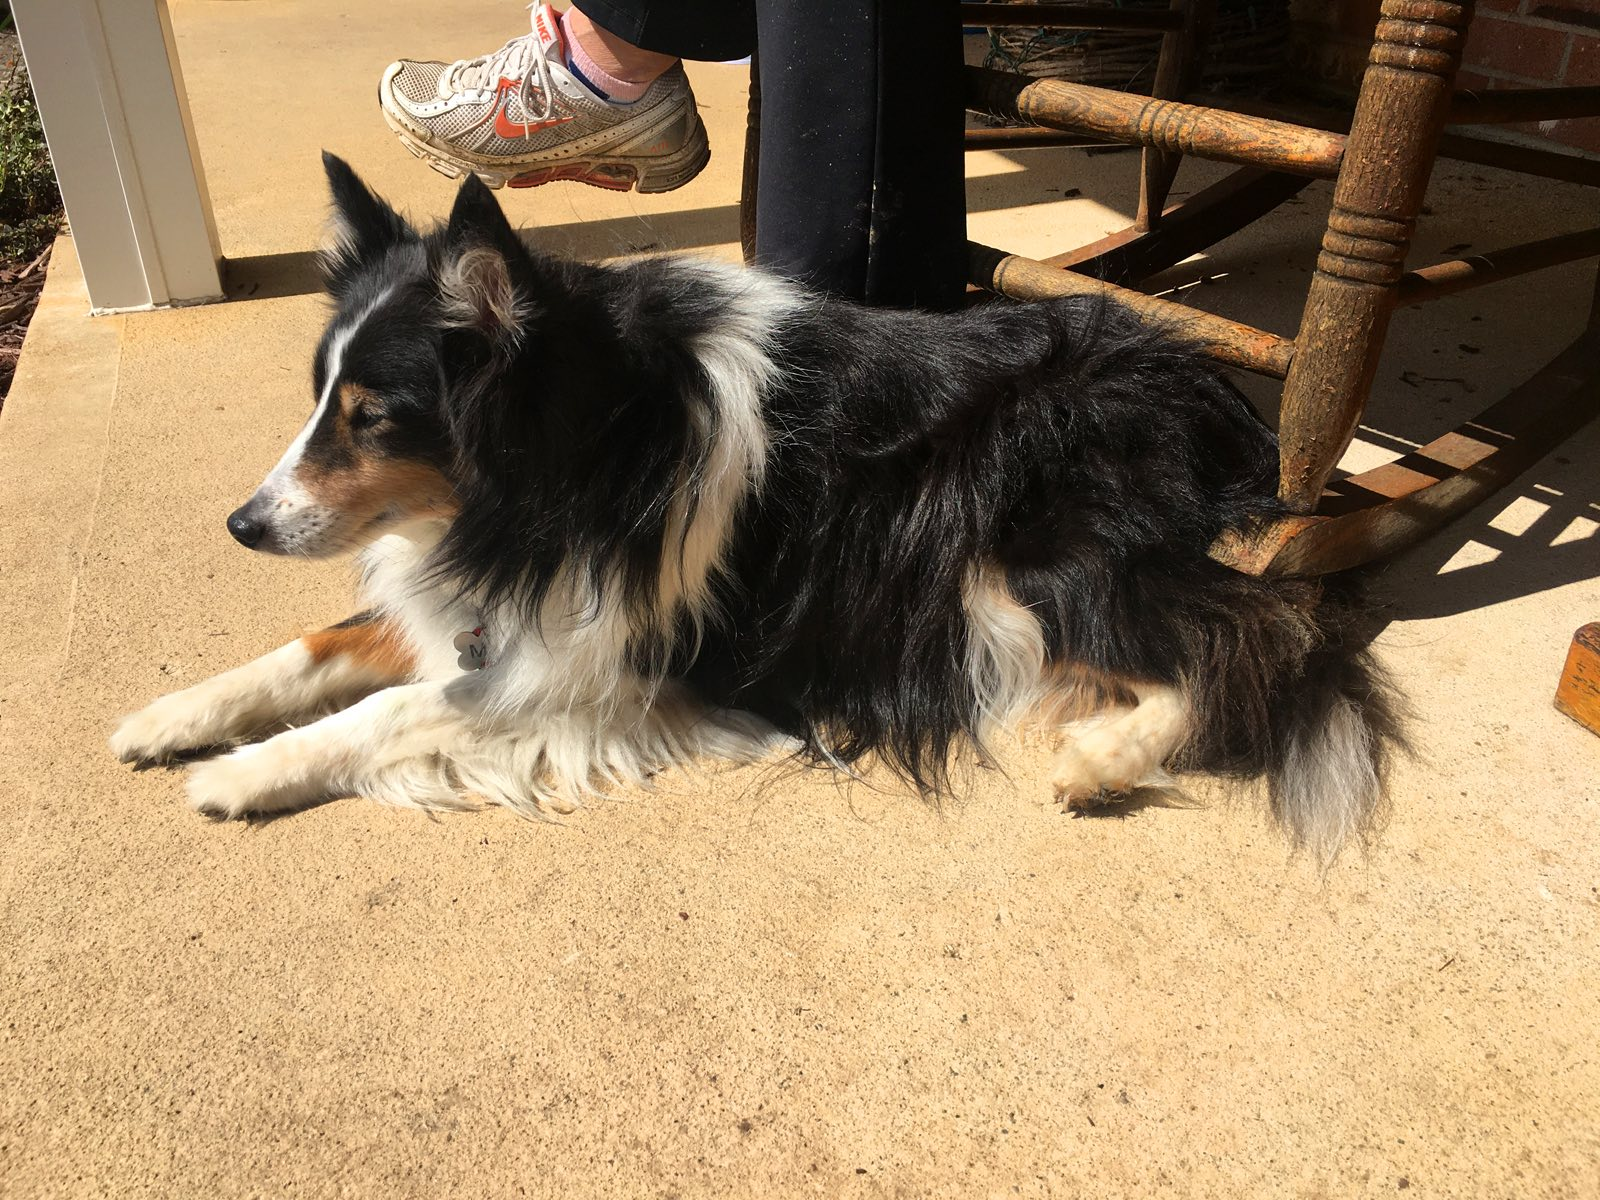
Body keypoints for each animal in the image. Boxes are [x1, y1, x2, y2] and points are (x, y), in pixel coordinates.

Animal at [112, 155, 1401, 857]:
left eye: (375, 415)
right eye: (319, 398)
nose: (242, 525)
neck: (593, 445)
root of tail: (1207, 394)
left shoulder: (601, 669)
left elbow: (390, 710)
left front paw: (237, 777)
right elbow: (319, 644)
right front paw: (170, 717)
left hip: (1015, 548)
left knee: (1268, 640)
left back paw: (1102, 759)